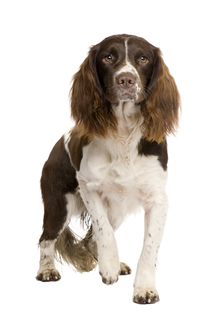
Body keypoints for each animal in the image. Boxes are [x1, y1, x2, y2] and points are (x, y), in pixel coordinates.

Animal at [36, 33, 180, 304]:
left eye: (143, 58)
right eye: (108, 57)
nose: (126, 79)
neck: (123, 132)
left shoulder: (157, 198)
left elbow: (149, 247)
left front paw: (145, 288)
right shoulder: (89, 187)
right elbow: (103, 231)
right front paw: (109, 265)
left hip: (116, 211)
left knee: (89, 239)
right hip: (59, 203)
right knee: (47, 238)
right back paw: (47, 269)